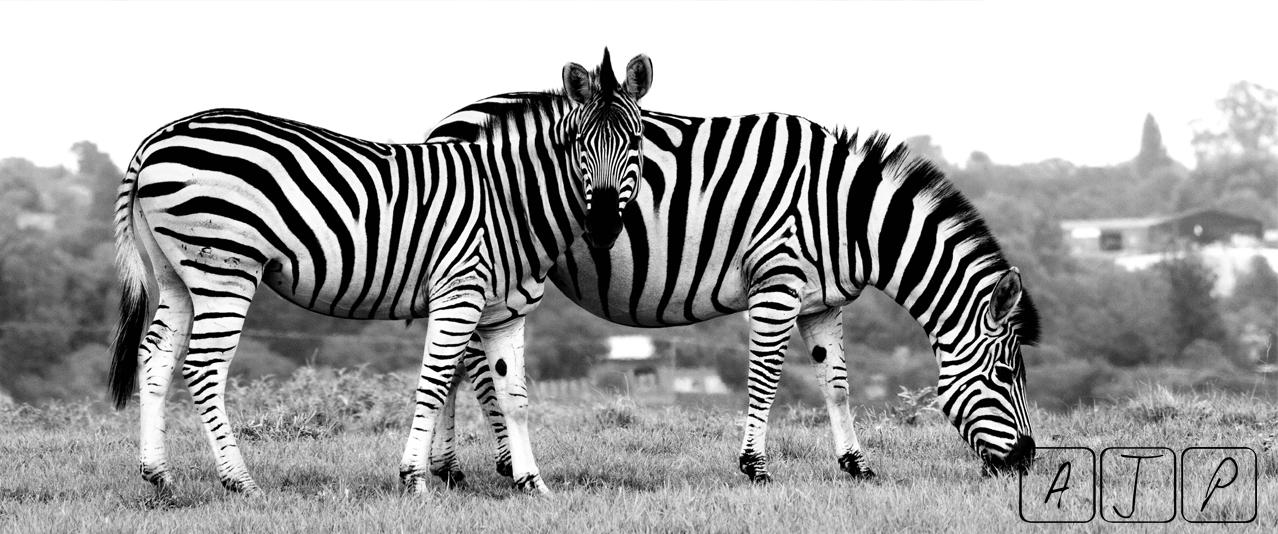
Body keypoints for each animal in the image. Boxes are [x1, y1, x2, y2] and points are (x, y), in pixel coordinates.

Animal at [107, 49, 653, 495]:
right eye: (579, 141)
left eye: (636, 140)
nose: (605, 226)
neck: (509, 199)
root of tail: (156, 139)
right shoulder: (459, 292)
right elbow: (434, 385)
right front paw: (415, 480)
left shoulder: (505, 312)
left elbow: (514, 398)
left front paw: (532, 484)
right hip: (223, 266)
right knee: (204, 367)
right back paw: (239, 481)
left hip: (178, 274)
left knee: (155, 357)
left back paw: (159, 478)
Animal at [425, 102, 1041, 483]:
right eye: (1006, 374)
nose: (1028, 461)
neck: (845, 214)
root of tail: (448, 121)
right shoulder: (777, 281)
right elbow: (764, 380)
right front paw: (755, 469)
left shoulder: (822, 300)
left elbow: (837, 384)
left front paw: (857, 466)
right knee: (462, 362)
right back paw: (471, 468)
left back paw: (451, 470)